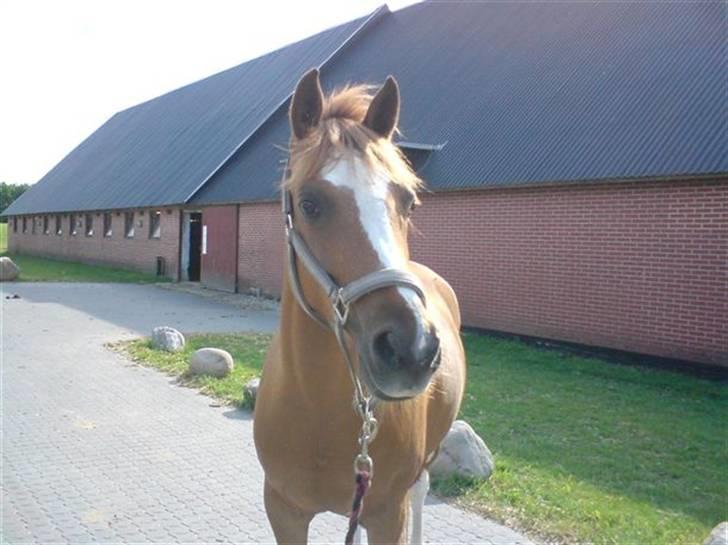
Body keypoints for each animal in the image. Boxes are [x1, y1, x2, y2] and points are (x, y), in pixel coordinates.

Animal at [253, 69, 466, 545]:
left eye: (408, 202)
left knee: (423, 490)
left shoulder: (387, 514)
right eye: (309, 203)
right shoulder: (283, 509)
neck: (318, 409)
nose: (412, 349)